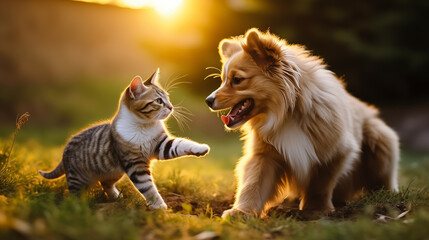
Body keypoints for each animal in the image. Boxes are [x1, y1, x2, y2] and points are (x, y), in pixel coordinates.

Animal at [39, 69, 210, 208]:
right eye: (158, 101)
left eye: (167, 98)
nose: (171, 107)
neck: (143, 126)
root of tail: (65, 148)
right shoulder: (135, 164)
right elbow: (148, 188)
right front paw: (159, 207)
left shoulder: (161, 145)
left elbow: (181, 143)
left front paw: (201, 148)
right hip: (77, 179)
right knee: (74, 194)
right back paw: (79, 205)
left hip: (113, 172)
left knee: (105, 183)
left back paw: (117, 197)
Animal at [204, 29, 398, 218]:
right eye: (223, 80)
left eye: (237, 80)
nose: (208, 100)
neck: (287, 114)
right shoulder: (264, 155)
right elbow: (253, 184)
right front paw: (242, 211)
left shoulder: (335, 152)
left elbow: (320, 184)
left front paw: (315, 209)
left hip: (380, 139)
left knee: (382, 180)